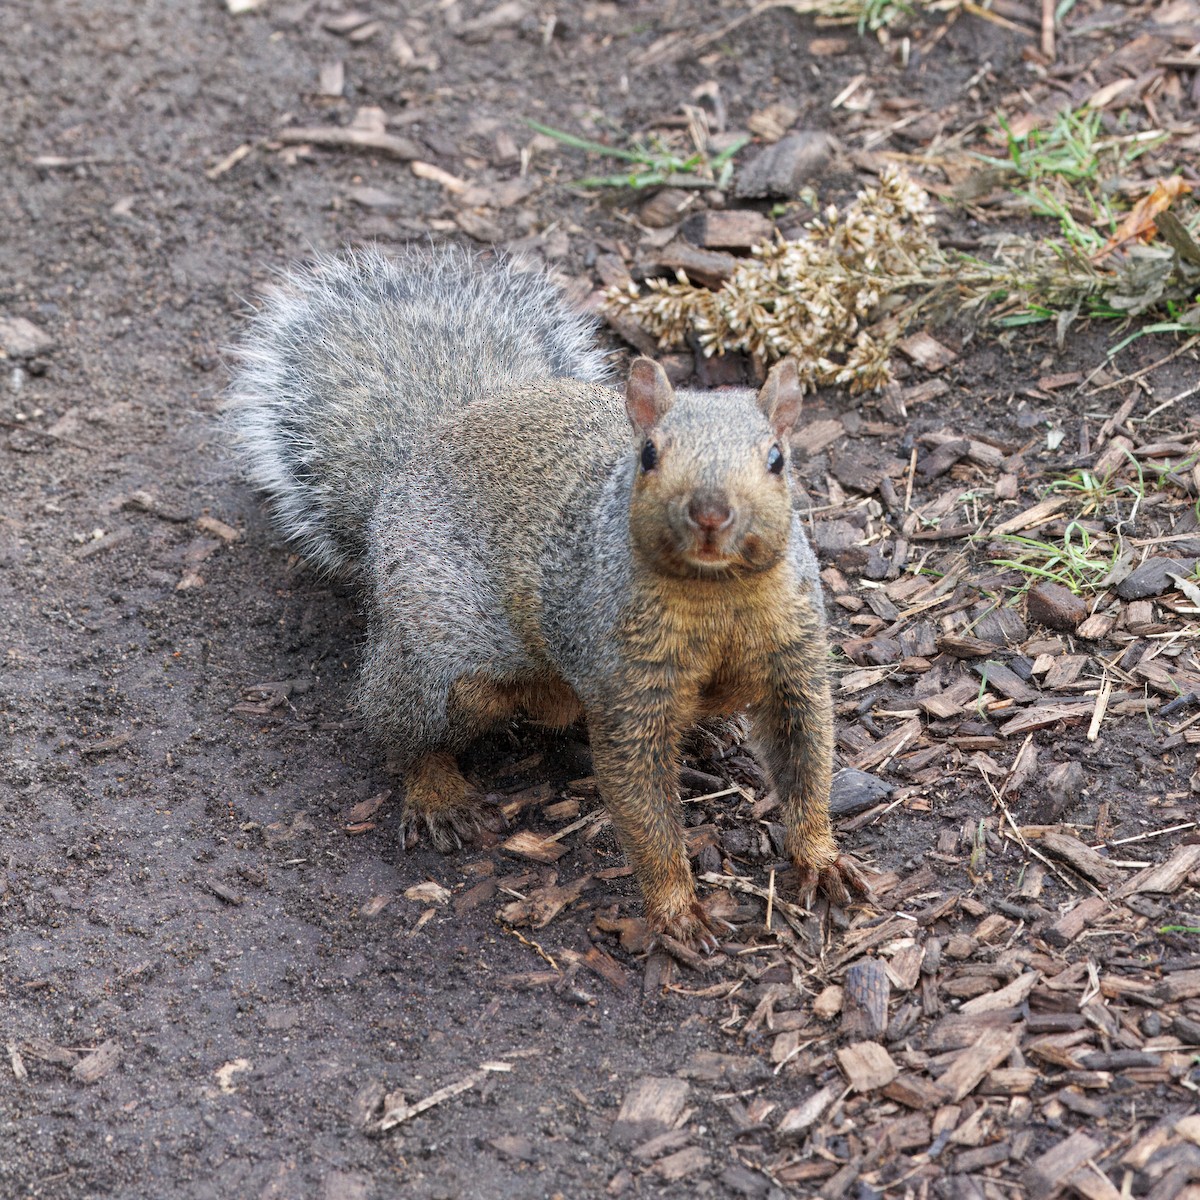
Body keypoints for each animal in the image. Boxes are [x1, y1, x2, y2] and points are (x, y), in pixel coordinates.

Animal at [228, 245, 868, 948]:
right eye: (648, 455)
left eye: (777, 459)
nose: (709, 512)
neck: (716, 596)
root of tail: (405, 469)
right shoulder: (626, 686)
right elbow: (645, 812)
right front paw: (675, 909)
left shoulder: (793, 662)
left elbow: (807, 761)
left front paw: (821, 857)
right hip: (438, 663)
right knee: (401, 727)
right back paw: (436, 794)